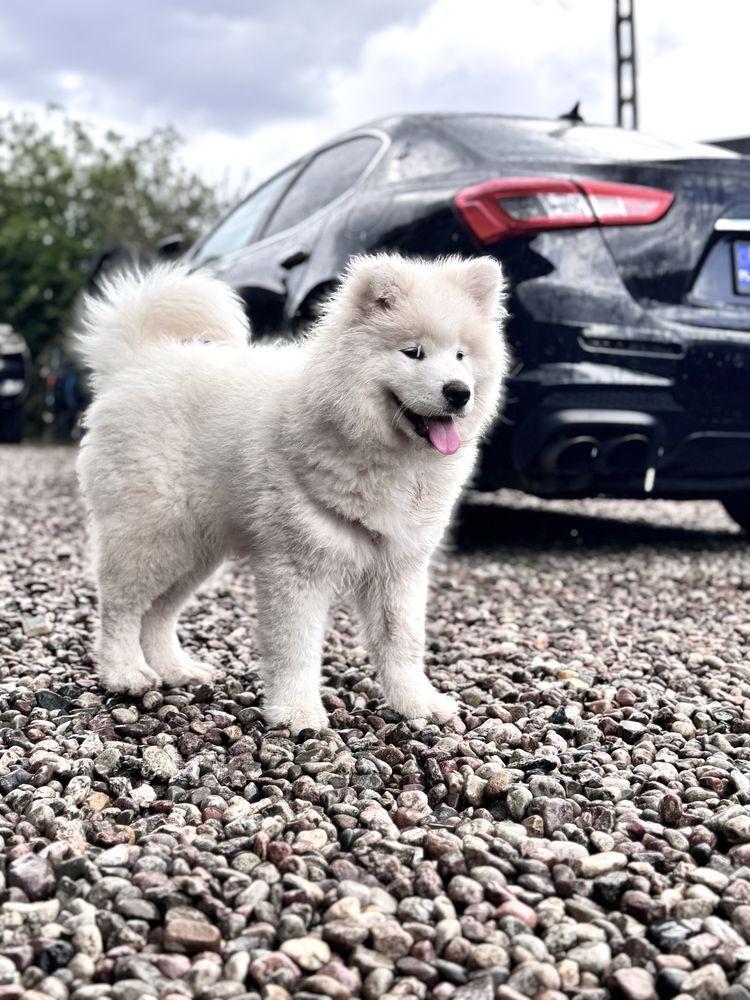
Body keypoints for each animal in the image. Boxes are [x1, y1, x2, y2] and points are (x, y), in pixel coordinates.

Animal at [76, 254, 512, 732]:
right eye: (413, 352)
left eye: (460, 355)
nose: (459, 392)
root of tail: (135, 363)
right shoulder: (296, 567)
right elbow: (295, 648)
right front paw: (297, 712)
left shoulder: (399, 566)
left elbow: (403, 643)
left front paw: (417, 703)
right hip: (152, 534)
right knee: (121, 606)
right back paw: (125, 672)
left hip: (194, 550)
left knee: (158, 613)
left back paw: (175, 668)